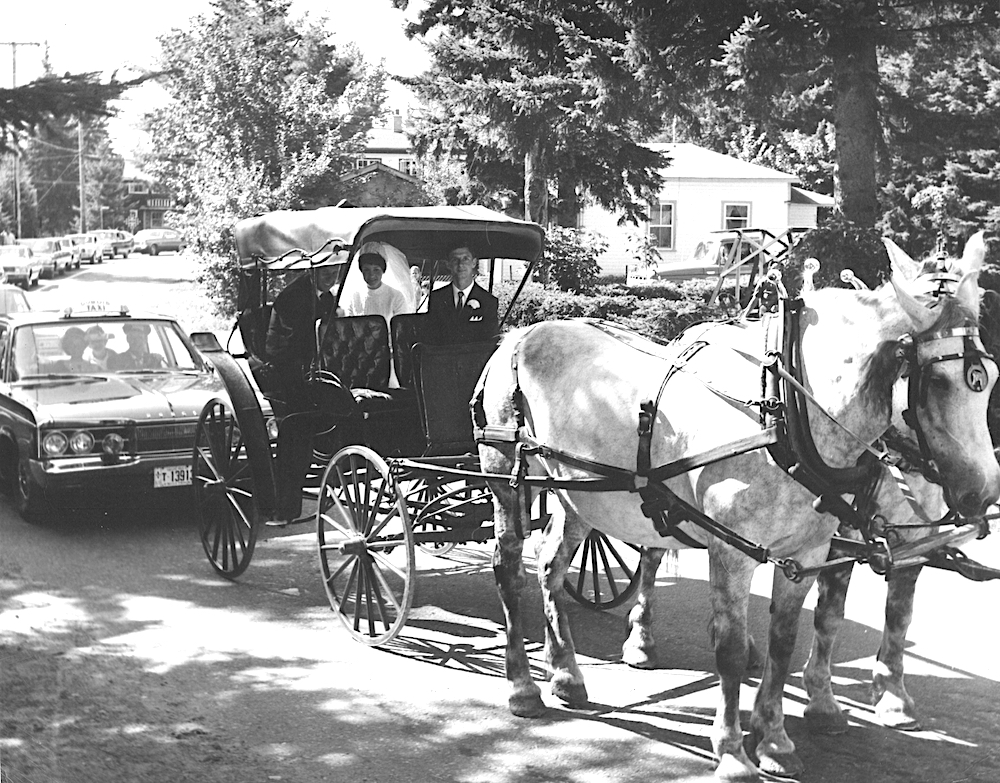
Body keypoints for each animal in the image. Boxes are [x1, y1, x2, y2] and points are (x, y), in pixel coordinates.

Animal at [476, 234, 1000, 783]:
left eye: (989, 376)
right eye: (939, 382)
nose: (983, 493)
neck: (785, 413)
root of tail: (520, 334)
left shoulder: (812, 552)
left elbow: (794, 638)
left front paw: (775, 737)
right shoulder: (733, 552)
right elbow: (730, 648)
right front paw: (731, 751)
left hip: (581, 493)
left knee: (552, 567)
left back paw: (566, 674)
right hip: (506, 478)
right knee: (509, 569)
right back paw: (523, 686)